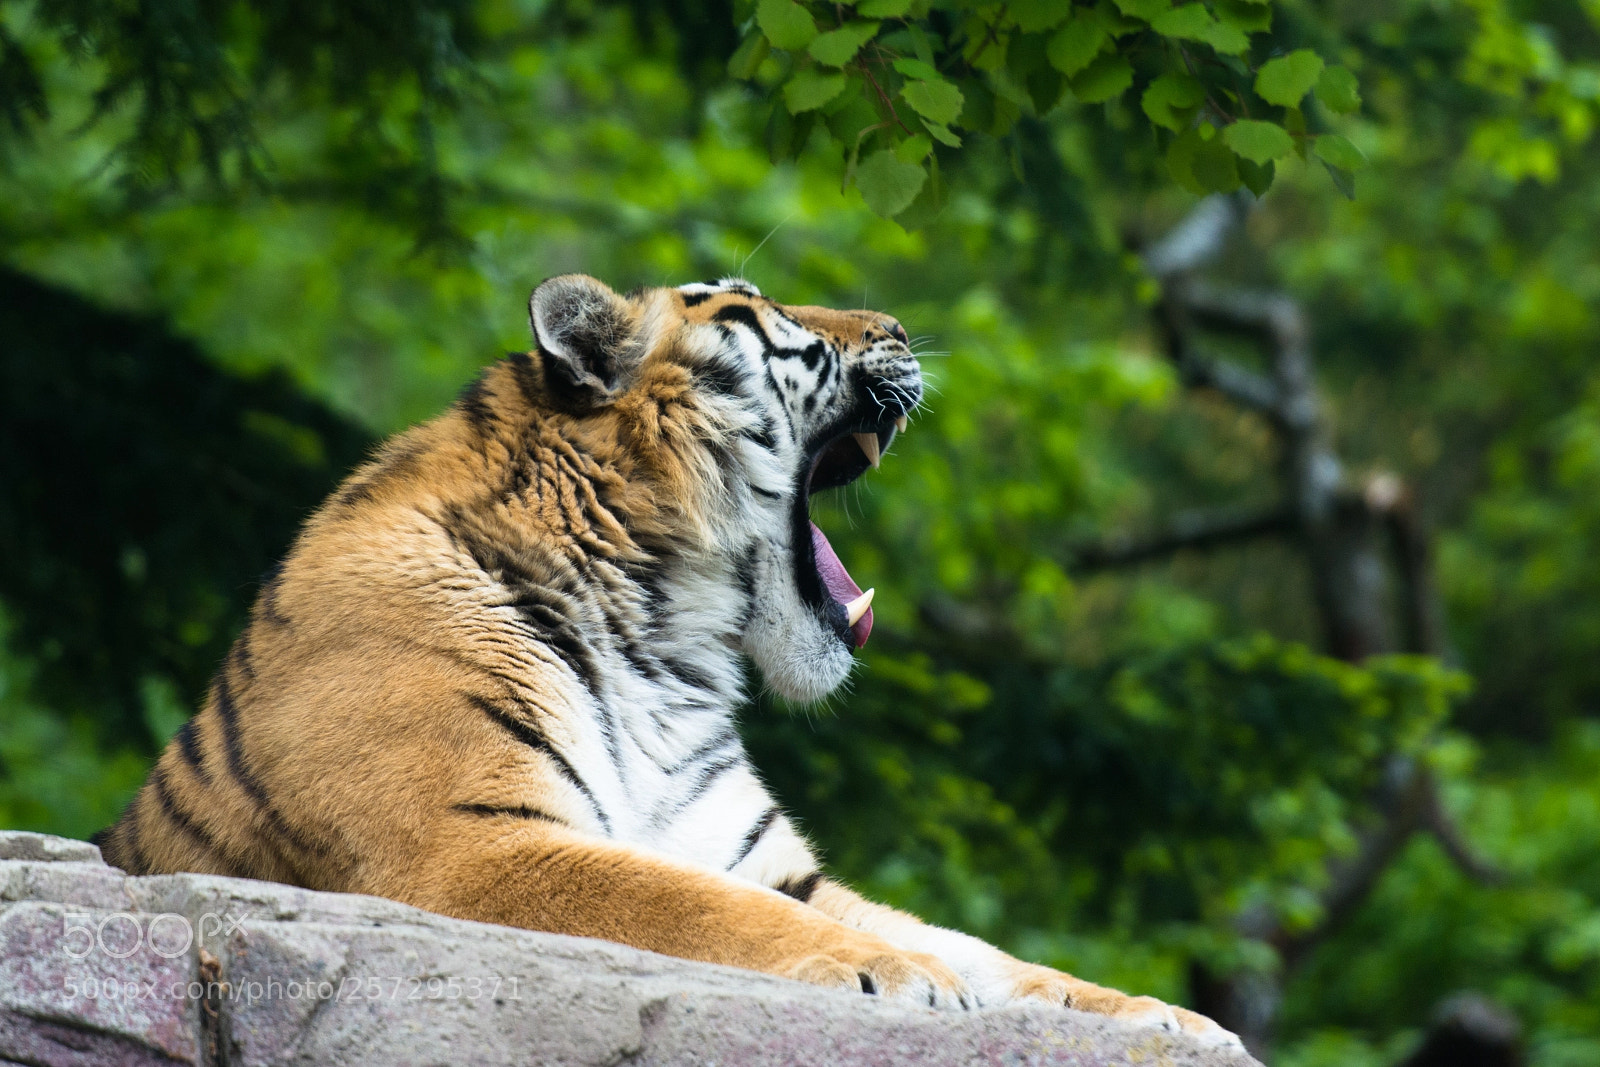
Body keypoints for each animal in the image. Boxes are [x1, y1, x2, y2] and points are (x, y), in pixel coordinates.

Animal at [97, 274, 1239, 1047]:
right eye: (761, 309)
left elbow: (988, 949)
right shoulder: (462, 846)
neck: (659, 635)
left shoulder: (770, 861)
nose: (901, 330)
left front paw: (1162, 1018)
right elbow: (695, 906)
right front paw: (893, 968)